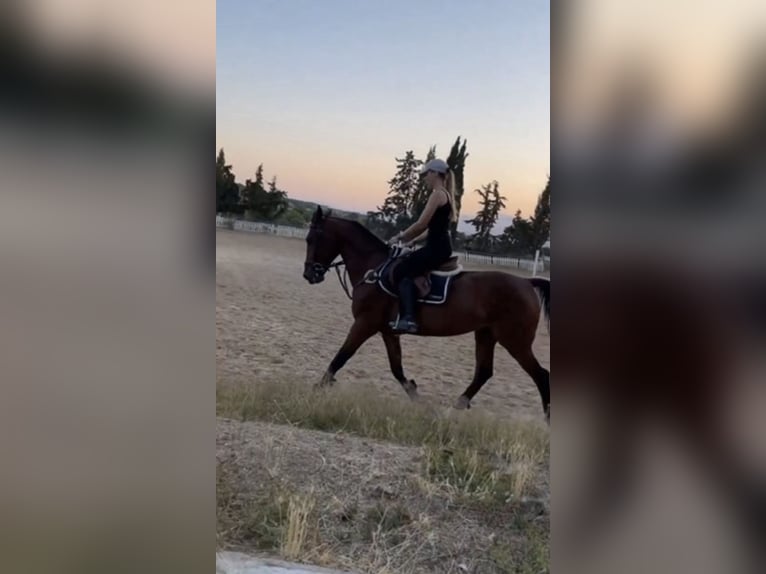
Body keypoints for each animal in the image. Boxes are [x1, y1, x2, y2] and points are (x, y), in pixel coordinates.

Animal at [302, 205, 550, 420]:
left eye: (312, 239)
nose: (309, 275)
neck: (374, 268)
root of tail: (526, 282)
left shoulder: (365, 324)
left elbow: (341, 357)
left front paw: (314, 392)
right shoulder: (387, 331)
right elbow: (397, 369)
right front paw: (419, 400)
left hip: (515, 341)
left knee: (541, 375)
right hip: (486, 335)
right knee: (484, 372)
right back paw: (455, 407)